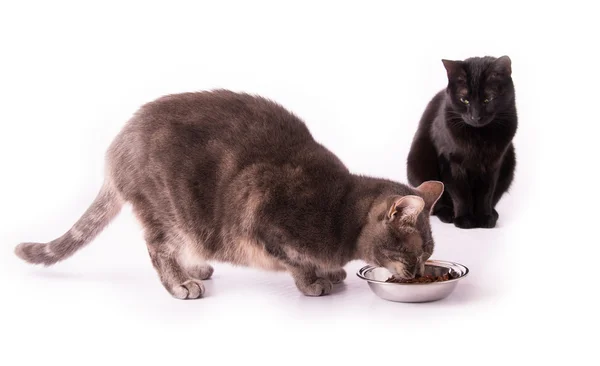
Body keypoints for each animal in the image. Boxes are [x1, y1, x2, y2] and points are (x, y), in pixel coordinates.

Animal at [15, 90, 446, 298]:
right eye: (413, 253)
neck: (341, 213)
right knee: (158, 248)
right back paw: (180, 283)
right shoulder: (264, 216)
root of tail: (118, 144)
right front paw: (314, 281)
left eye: (428, 254)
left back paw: (195, 268)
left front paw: (330, 271)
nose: (419, 273)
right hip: (168, 210)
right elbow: (297, 262)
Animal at [408, 55, 516, 227]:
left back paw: (493, 214)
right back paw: (448, 214)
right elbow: (460, 192)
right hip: (418, 161)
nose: (475, 116)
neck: (478, 137)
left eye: (487, 99)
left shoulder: (493, 164)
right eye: (464, 100)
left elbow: (486, 192)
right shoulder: (451, 161)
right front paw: (464, 219)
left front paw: (484, 217)